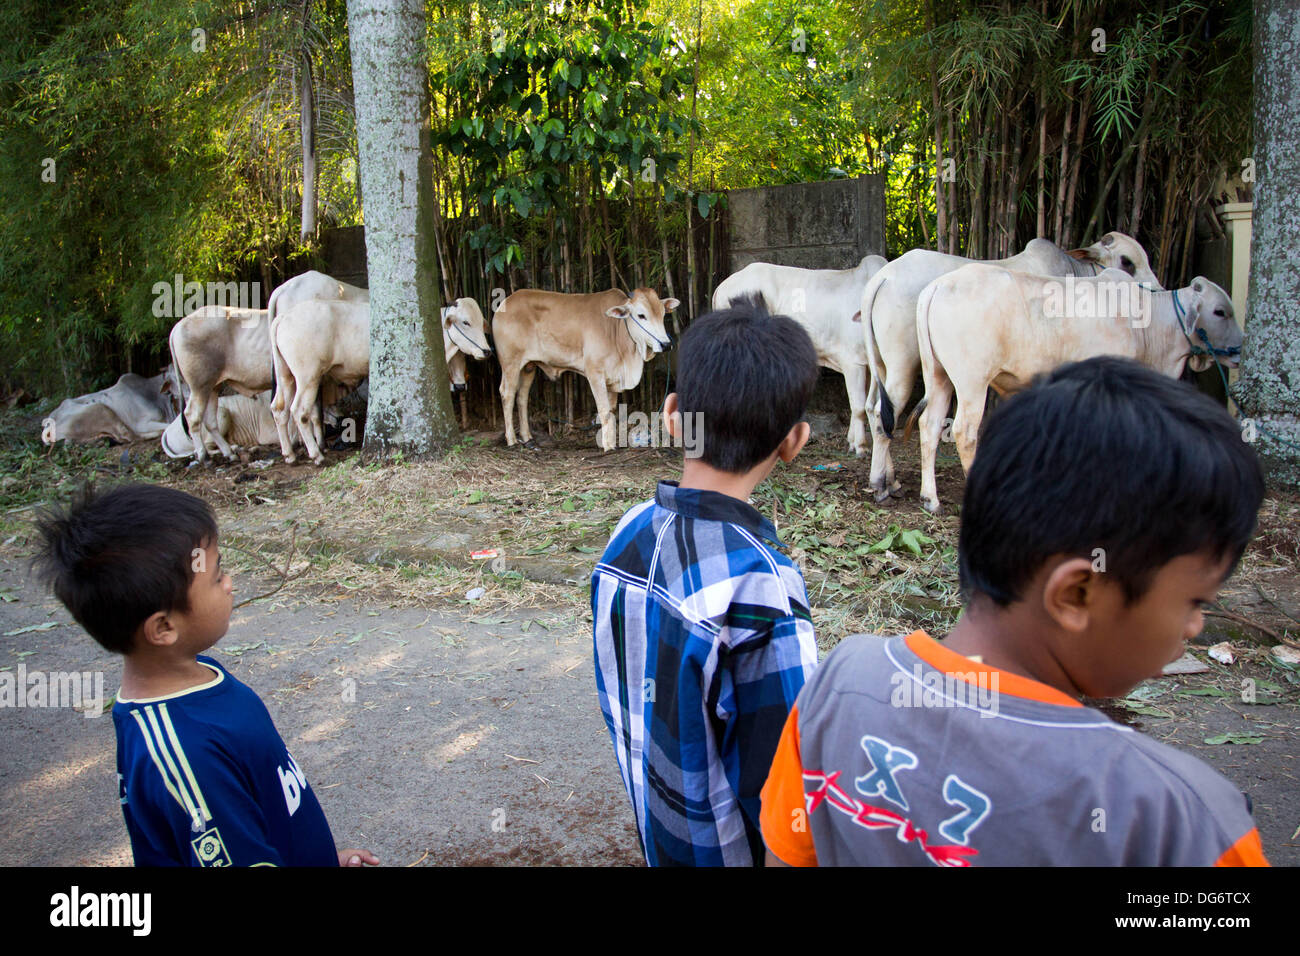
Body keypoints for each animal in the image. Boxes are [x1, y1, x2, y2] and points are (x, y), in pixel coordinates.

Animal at [488, 287, 681, 452]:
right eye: (641, 315)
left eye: (662, 314)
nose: (666, 344)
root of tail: (504, 303)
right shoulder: (595, 373)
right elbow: (604, 410)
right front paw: (608, 447)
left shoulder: (612, 379)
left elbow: (611, 411)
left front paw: (611, 442)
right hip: (510, 363)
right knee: (507, 394)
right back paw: (512, 440)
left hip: (529, 367)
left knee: (522, 398)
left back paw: (528, 438)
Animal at [863, 231, 1159, 502]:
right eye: (1127, 261)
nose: (1156, 291)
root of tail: (884, 276)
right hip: (923, 371)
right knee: (909, 420)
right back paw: (883, 485)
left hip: (911, 370)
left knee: (893, 415)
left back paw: (900, 486)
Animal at [915, 269, 1237, 515]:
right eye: (1220, 311)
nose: (1238, 350)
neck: (1146, 325)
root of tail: (938, 285)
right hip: (973, 381)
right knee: (964, 431)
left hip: (938, 376)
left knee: (929, 425)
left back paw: (931, 499)